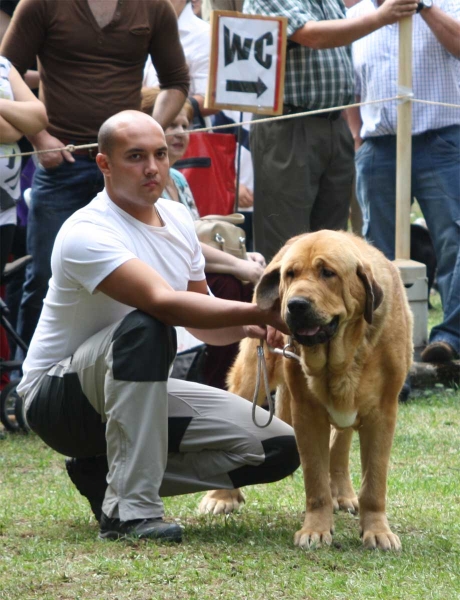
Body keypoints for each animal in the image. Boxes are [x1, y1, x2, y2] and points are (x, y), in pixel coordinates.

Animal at [200, 231, 414, 552]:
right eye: (290, 274)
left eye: (328, 273)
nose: (296, 305)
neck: (342, 355)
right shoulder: (307, 414)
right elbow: (315, 480)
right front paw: (316, 529)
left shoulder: (381, 414)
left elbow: (374, 482)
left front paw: (377, 531)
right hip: (252, 374)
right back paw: (221, 498)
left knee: (340, 446)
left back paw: (342, 493)